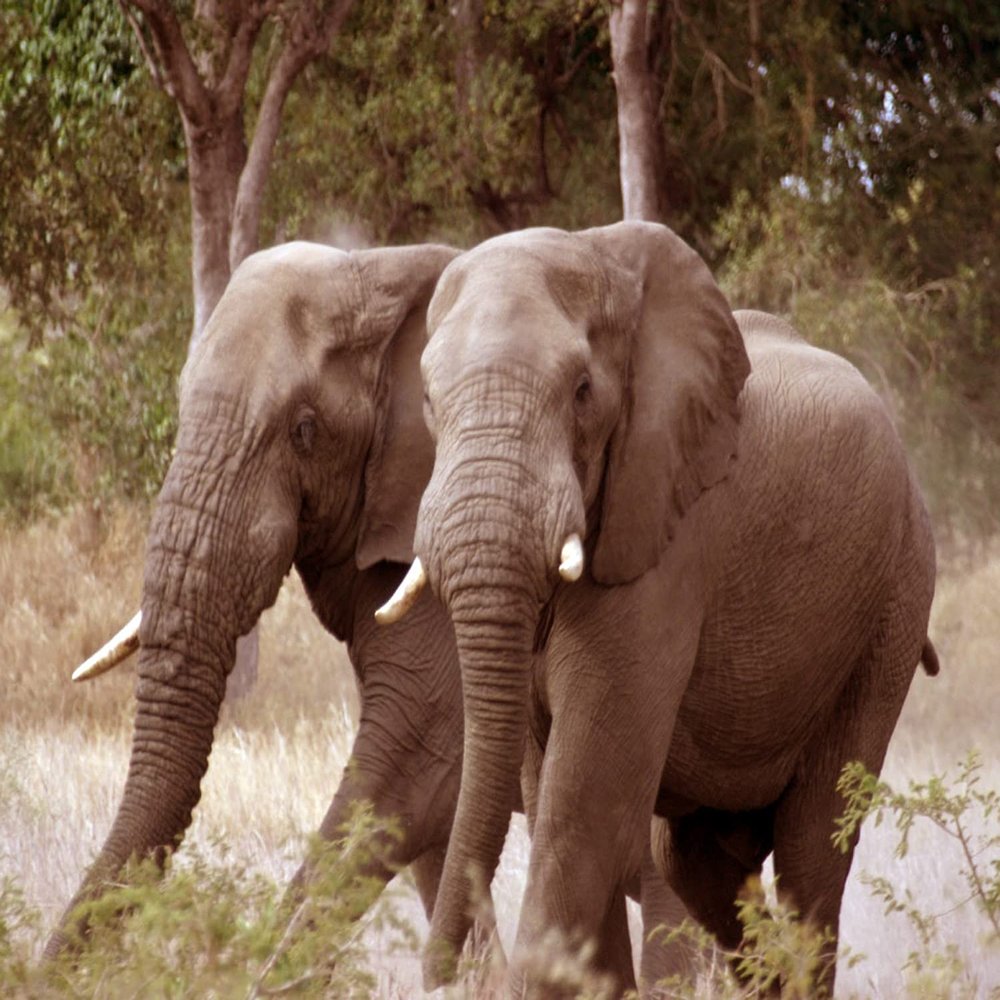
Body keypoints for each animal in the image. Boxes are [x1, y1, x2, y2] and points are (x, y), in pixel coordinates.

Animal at [381, 221, 938, 997]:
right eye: (429, 400)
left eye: (583, 391)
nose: (435, 972)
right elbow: (549, 789)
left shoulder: (669, 543)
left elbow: (582, 813)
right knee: (696, 860)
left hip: (894, 598)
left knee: (814, 847)